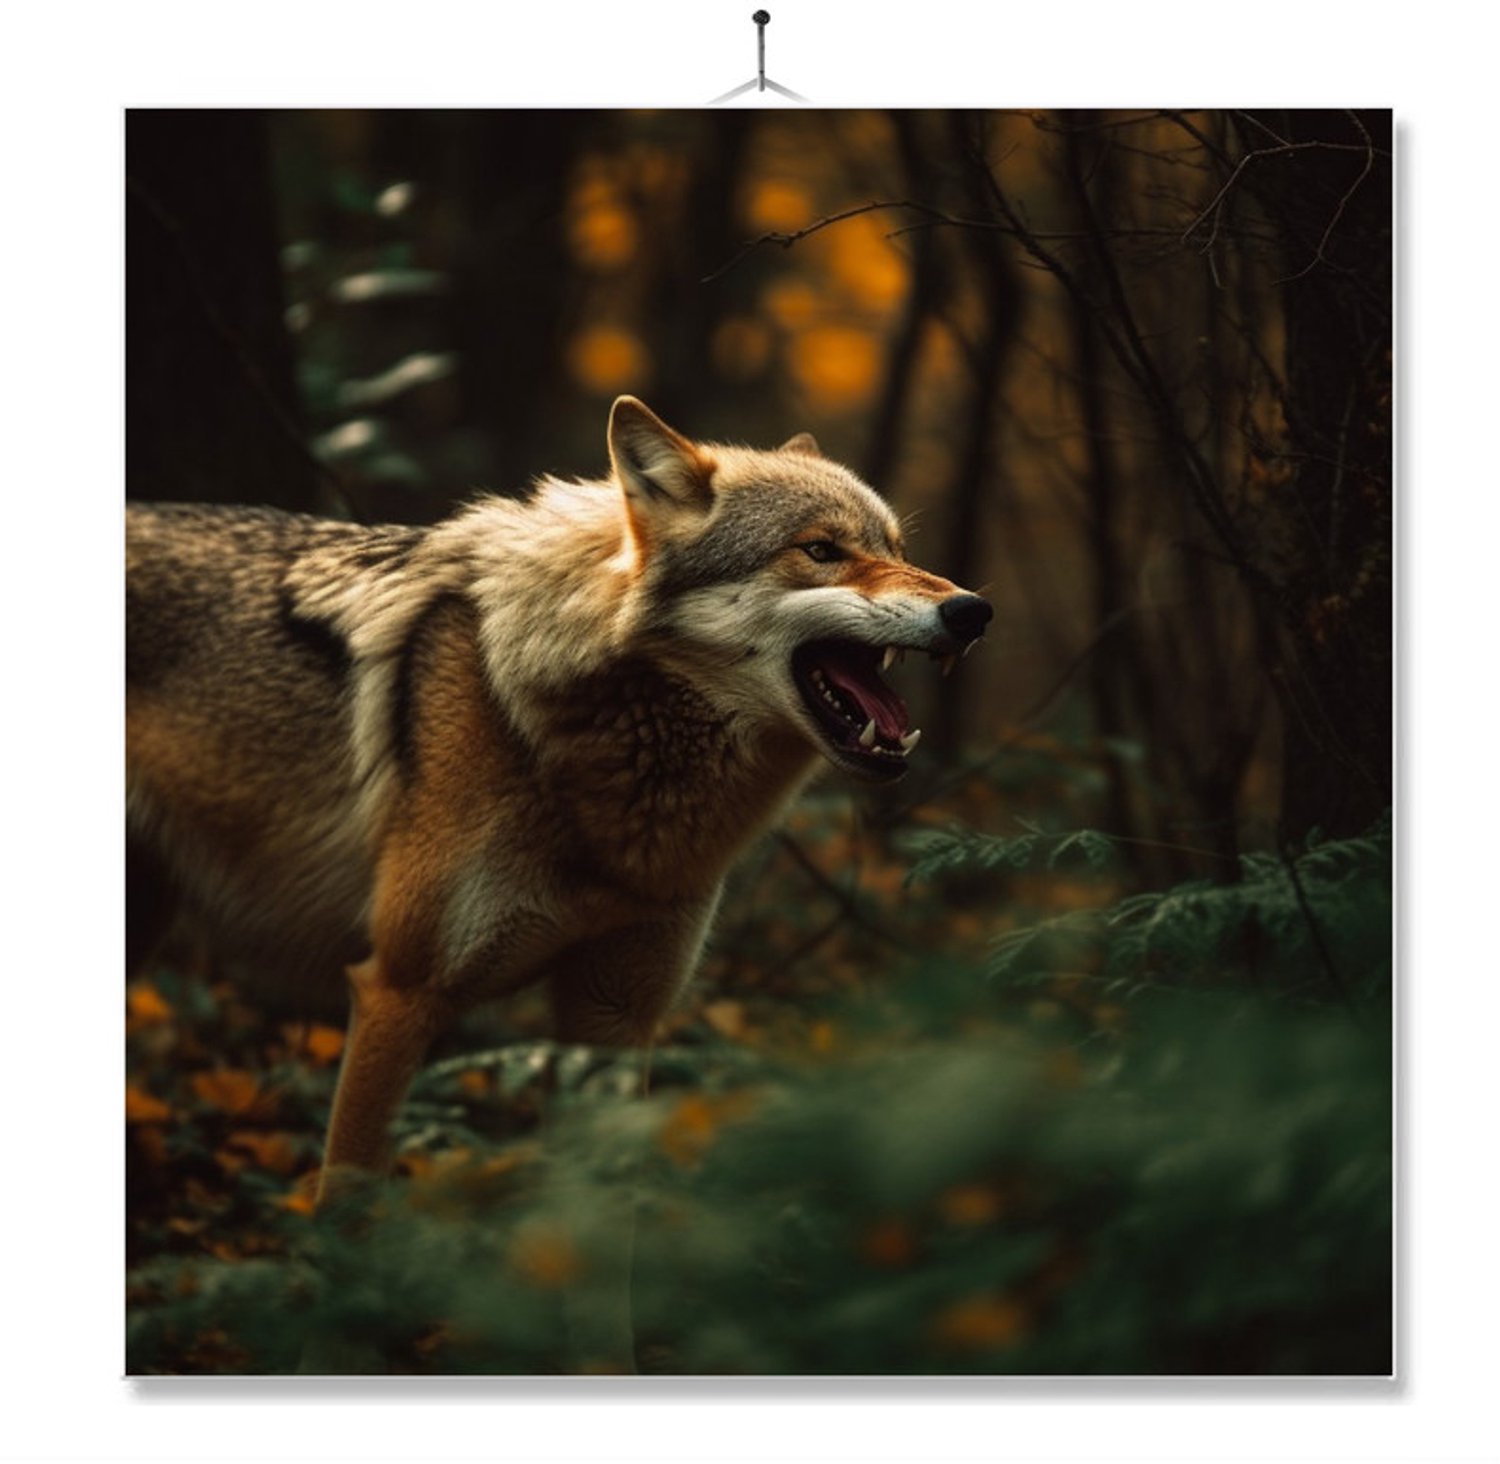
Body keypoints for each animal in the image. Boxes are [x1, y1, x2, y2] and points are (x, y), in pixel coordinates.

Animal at [126, 396, 992, 1197]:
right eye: (820, 551)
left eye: (900, 551)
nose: (974, 610)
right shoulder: (394, 994)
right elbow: (349, 1200)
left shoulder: (615, 1017)